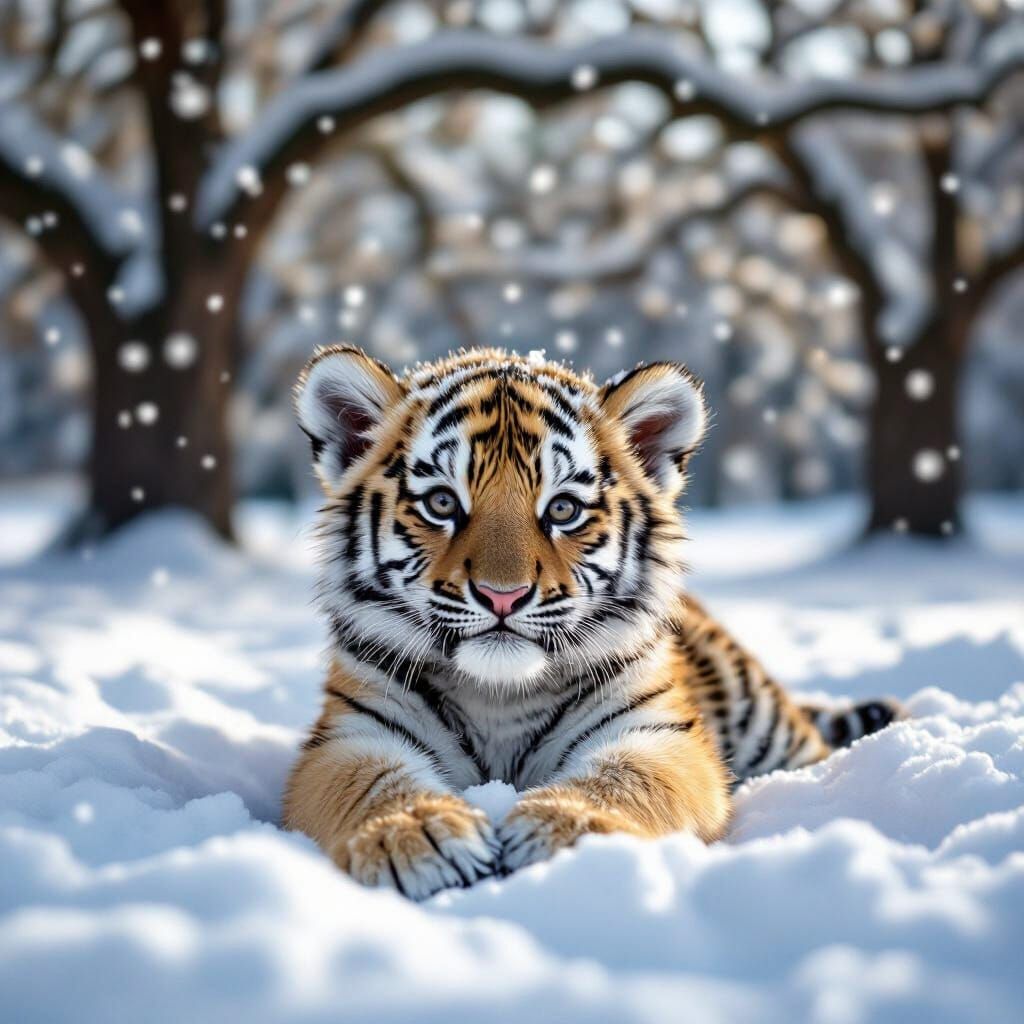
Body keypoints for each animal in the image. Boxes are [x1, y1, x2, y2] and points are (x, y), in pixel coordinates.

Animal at [283, 346, 903, 900]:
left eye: (563, 509)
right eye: (441, 503)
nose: (503, 595)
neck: (499, 696)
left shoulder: (657, 733)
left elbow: (625, 779)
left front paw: (564, 828)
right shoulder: (352, 736)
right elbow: (373, 784)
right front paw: (417, 838)